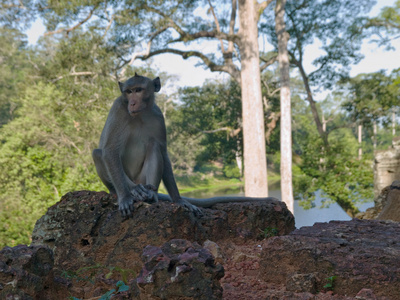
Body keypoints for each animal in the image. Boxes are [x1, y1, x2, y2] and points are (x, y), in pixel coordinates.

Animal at [94, 73, 280, 218]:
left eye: (138, 90)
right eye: (128, 92)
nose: (132, 103)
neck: (139, 114)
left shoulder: (158, 116)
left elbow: (163, 151)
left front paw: (179, 200)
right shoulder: (119, 109)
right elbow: (109, 150)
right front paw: (127, 195)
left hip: (143, 177)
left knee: (154, 146)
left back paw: (152, 194)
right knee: (98, 153)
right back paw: (134, 190)